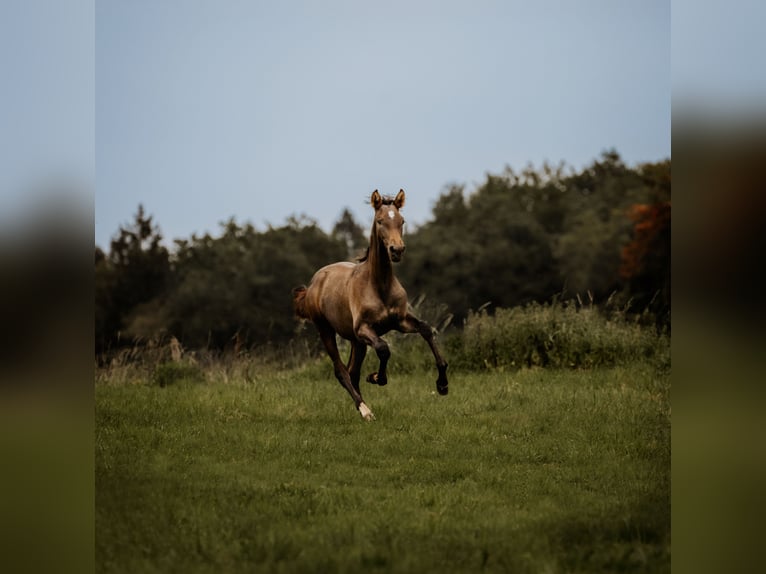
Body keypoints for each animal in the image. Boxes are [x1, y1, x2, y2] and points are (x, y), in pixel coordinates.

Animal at [293, 189, 449, 420]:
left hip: (356, 341)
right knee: (341, 371)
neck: (379, 285)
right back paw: (365, 411)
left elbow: (426, 329)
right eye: (380, 221)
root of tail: (314, 283)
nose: (397, 250)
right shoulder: (364, 329)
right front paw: (376, 377)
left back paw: (362, 407)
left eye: (402, 221)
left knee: (352, 372)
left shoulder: (401, 321)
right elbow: (384, 348)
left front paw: (442, 384)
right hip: (327, 331)